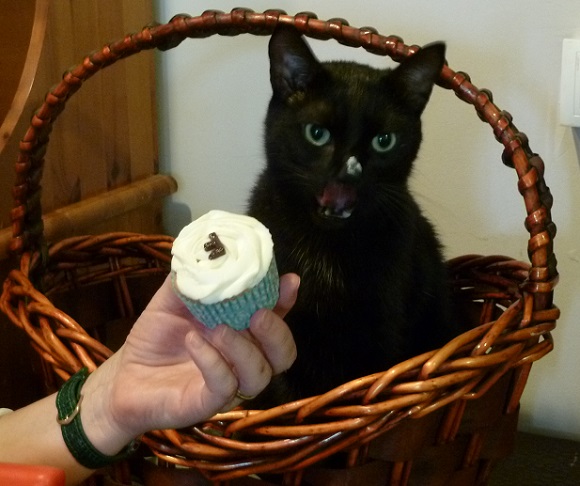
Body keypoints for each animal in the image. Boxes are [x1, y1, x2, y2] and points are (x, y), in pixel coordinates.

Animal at [247, 27, 456, 406]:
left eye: (384, 141)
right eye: (317, 133)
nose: (350, 171)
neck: (325, 249)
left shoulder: (382, 330)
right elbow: (289, 395)